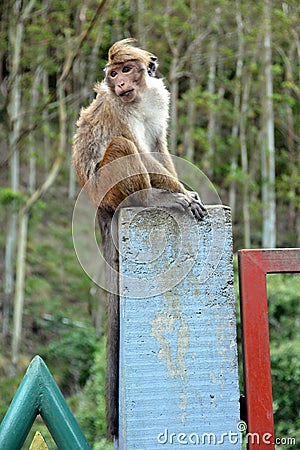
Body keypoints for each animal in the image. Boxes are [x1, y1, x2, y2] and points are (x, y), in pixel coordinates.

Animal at [72, 38, 206, 440]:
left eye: (126, 70)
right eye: (113, 73)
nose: (119, 82)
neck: (137, 99)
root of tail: (99, 206)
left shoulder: (159, 98)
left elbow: (159, 144)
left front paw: (184, 189)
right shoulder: (117, 110)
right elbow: (138, 147)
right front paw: (180, 193)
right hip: (109, 187)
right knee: (121, 147)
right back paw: (152, 200)